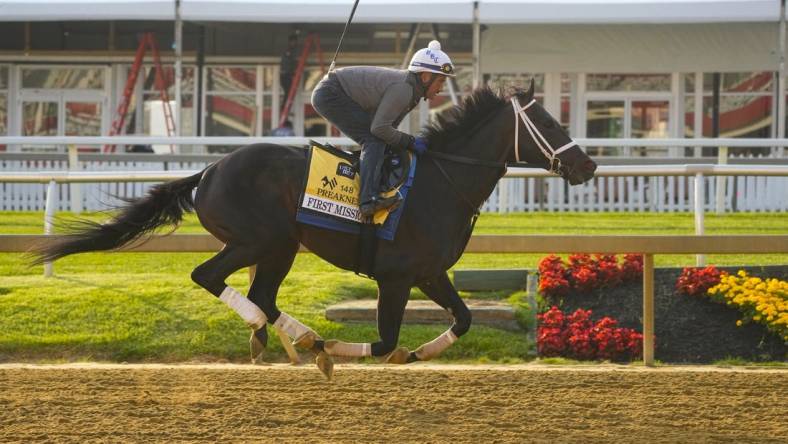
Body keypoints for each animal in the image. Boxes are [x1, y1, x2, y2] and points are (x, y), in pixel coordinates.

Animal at [32, 83, 596, 378]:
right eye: (549, 123)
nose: (588, 166)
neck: (441, 182)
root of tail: (209, 171)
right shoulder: (395, 278)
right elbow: (383, 340)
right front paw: (349, 352)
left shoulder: (430, 274)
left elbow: (463, 319)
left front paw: (419, 352)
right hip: (258, 239)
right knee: (212, 278)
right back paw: (288, 337)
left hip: (279, 246)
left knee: (262, 294)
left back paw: (292, 337)